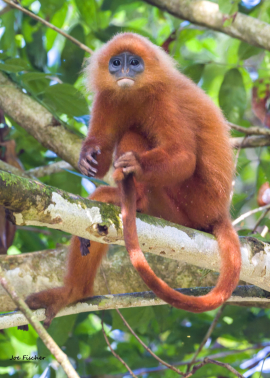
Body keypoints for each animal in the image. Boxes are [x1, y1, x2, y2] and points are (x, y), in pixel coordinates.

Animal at [24, 33, 240, 328]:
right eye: (116, 63)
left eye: (134, 63)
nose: (125, 70)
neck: (134, 93)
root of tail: (218, 212)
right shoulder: (107, 97)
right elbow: (100, 158)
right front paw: (87, 156)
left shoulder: (164, 98)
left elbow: (184, 157)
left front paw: (135, 165)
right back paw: (73, 293)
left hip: (188, 205)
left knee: (134, 135)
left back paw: (132, 198)